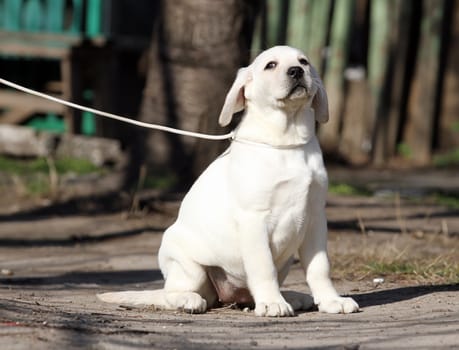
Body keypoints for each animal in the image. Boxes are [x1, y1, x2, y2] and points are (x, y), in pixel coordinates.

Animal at [99, 45, 362, 316]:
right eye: (270, 65)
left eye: (303, 62)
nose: (296, 71)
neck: (287, 140)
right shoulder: (255, 219)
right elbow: (263, 266)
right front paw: (272, 302)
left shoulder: (315, 217)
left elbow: (320, 267)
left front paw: (331, 300)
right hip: (187, 265)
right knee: (174, 293)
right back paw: (189, 299)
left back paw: (292, 295)